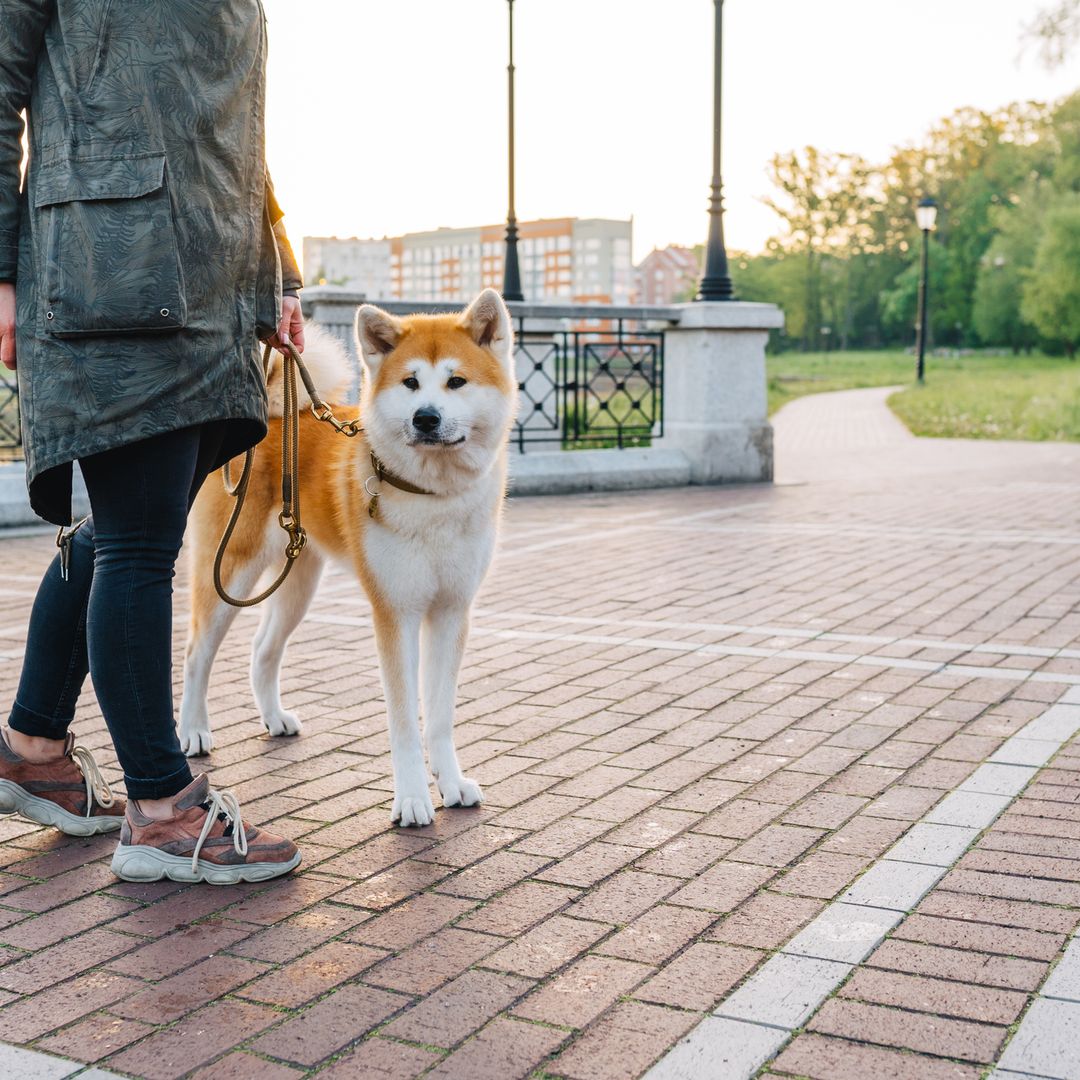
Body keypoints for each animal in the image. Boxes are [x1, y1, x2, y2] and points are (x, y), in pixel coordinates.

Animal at [180, 289, 518, 825]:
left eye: (456, 381)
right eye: (410, 382)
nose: (426, 417)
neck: (432, 496)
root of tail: (277, 414)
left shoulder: (451, 611)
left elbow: (440, 718)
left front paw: (451, 782)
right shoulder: (395, 613)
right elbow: (404, 721)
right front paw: (413, 799)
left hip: (298, 582)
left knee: (263, 650)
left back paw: (274, 719)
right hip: (230, 572)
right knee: (196, 654)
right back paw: (193, 731)